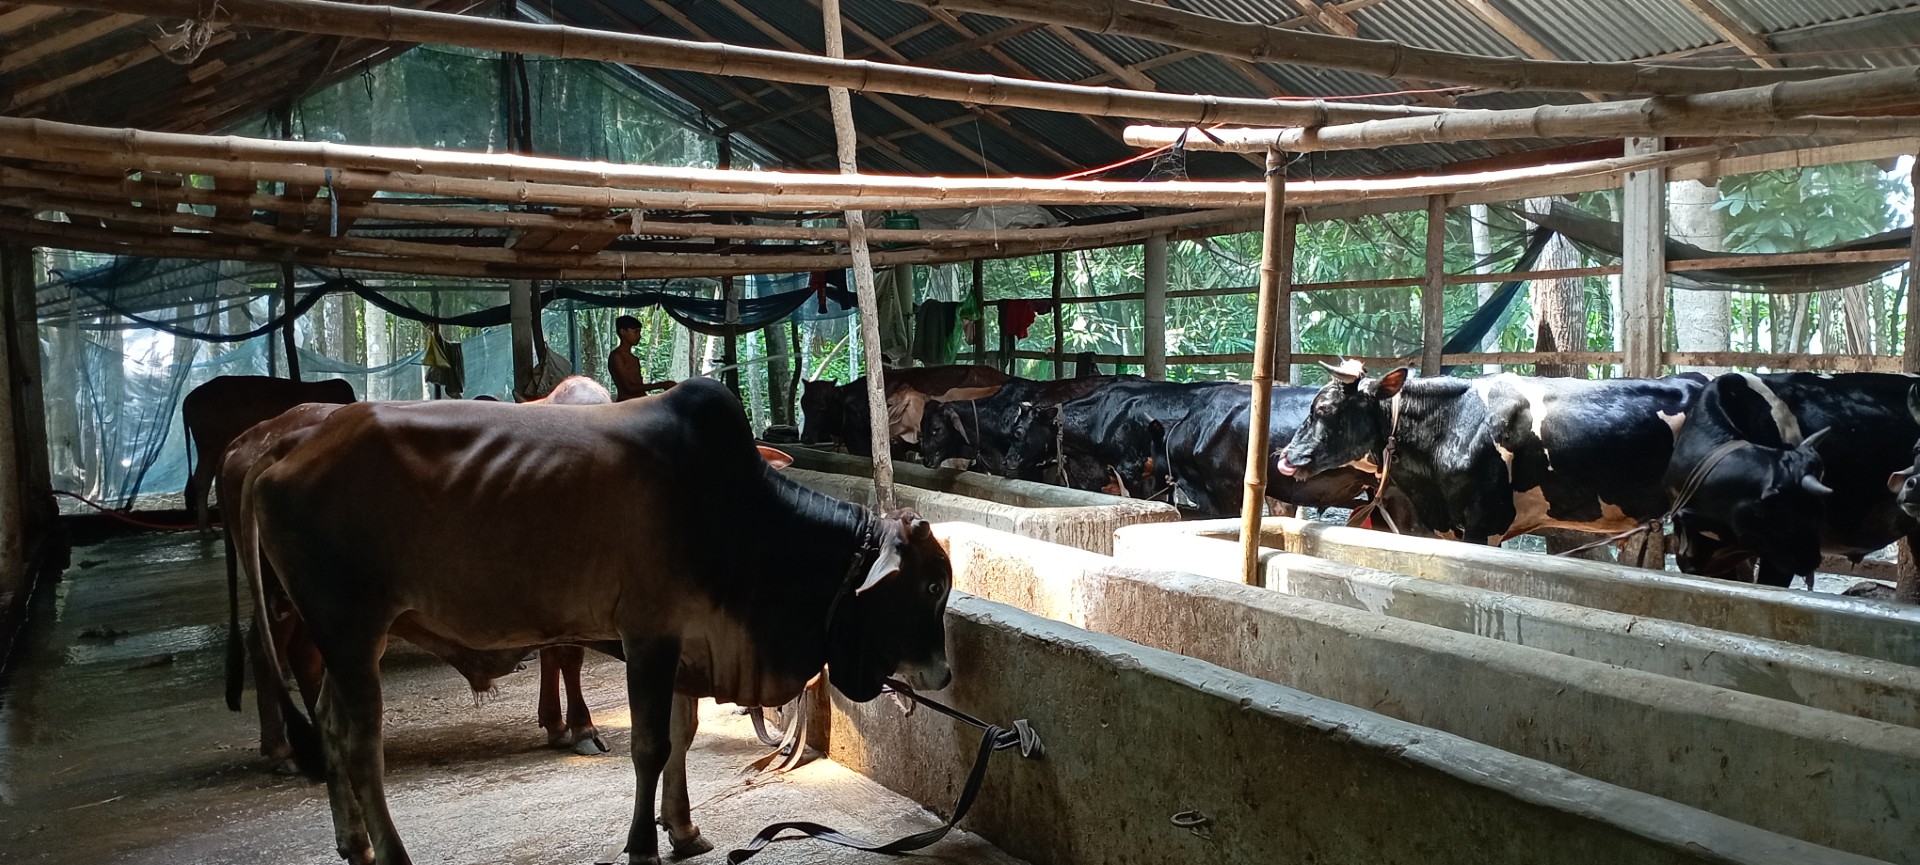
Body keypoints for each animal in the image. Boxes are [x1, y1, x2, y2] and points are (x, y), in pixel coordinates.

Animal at [236, 378, 951, 864]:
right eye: (930, 586)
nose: (943, 675)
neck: (739, 517)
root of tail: (285, 445)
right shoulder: (649, 635)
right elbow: (650, 745)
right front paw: (643, 845)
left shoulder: (685, 643)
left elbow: (681, 735)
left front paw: (684, 829)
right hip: (351, 631)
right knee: (359, 744)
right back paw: (391, 853)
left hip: (347, 642)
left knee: (329, 725)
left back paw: (352, 842)